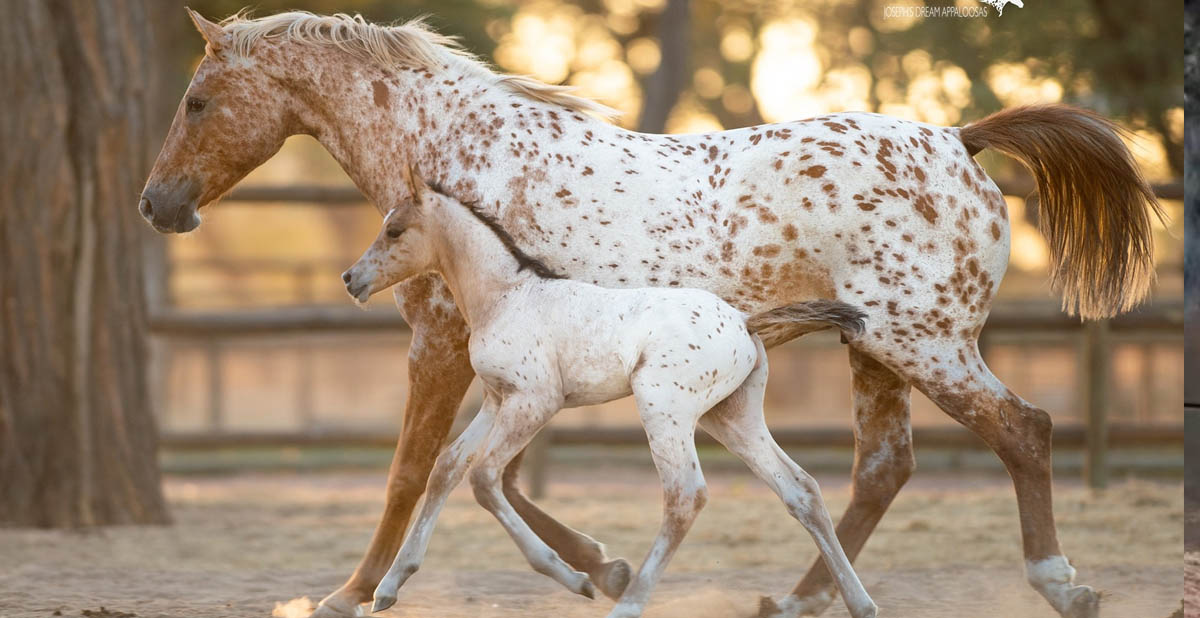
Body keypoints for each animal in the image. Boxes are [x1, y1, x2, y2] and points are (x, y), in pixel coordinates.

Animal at [343, 168, 878, 618]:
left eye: (395, 230)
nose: (351, 279)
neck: (506, 297)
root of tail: (745, 322)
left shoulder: (535, 401)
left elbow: (484, 478)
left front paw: (575, 577)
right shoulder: (498, 399)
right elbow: (447, 468)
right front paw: (388, 588)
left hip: (663, 408)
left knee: (685, 497)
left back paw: (629, 602)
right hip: (731, 417)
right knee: (800, 489)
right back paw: (859, 603)